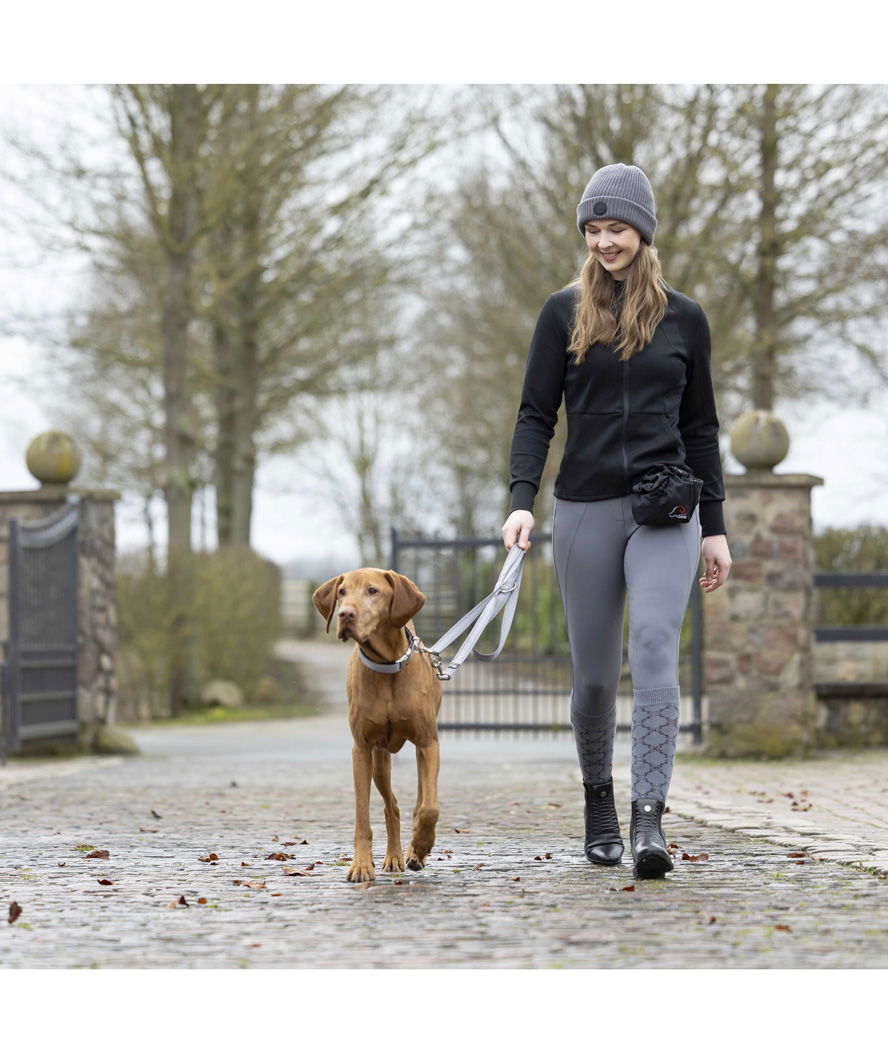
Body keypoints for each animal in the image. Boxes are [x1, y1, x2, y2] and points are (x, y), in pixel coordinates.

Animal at [311, 568, 444, 880]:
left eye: (372, 591)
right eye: (342, 592)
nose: (345, 614)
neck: (387, 664)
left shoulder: (428, 743)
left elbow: (429, 808)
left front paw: (421, 845)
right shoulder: (361, 750)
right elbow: (362, 817)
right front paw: (361, 865)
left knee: (419, 801)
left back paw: (412, 851)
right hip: (380, 759)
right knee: (391, 806)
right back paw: (394, 856)